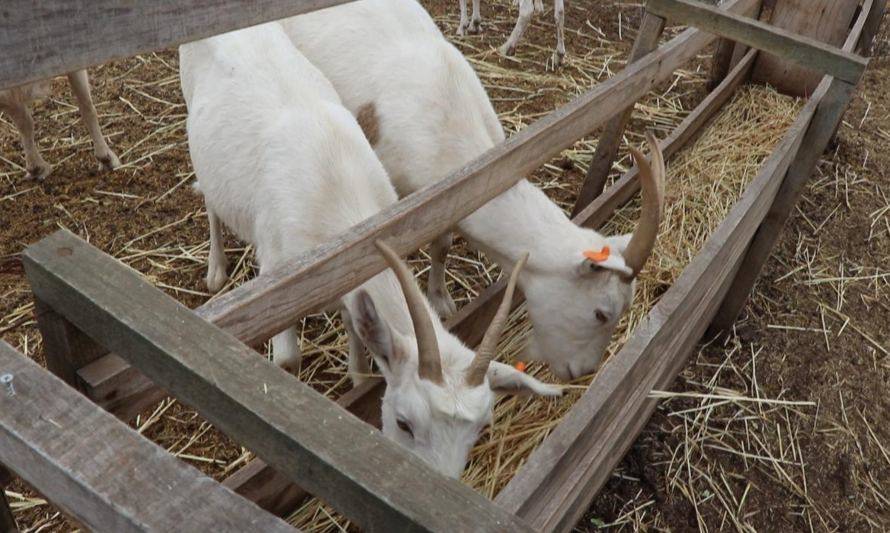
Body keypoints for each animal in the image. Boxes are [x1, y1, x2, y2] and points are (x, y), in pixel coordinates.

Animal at [177, 22, 560, 476]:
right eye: (405, 422)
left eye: (482, 427)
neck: (337, 193)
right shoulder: (274, 274)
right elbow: (288, 362)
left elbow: (355, 322)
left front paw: (358, 378)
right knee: (211, 202)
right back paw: (216, 269)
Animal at [280, 1, 664, 382]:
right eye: (602, 313)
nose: (581, 371)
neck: (448, 123)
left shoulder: (449, 197)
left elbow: (443, 245)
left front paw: (441, 299)